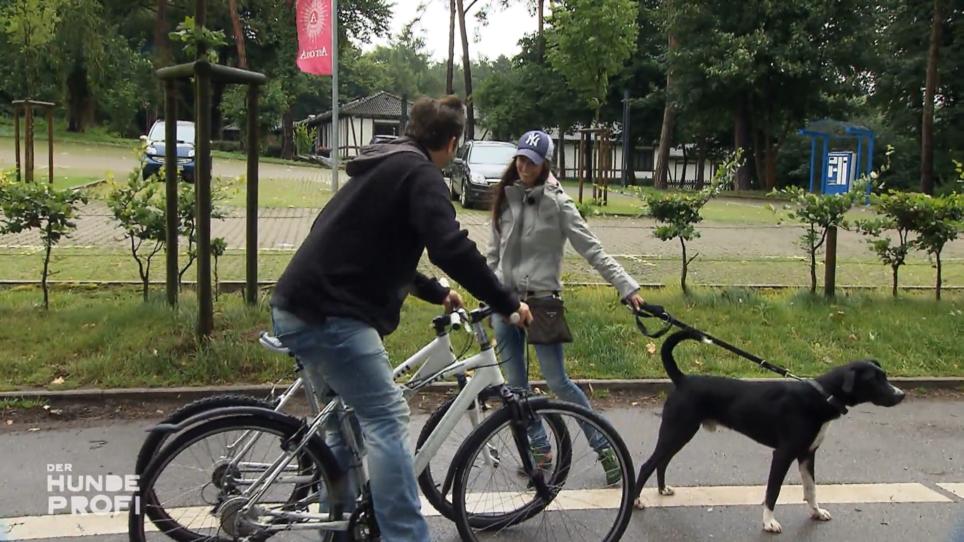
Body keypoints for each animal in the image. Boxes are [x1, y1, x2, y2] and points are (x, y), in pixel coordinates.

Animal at [632, 330, 904, 532]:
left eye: (884, 376)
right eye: (874, 380)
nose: (901, 395)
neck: (820, 397)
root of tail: (683, 379)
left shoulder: (807, 454)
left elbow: (811, 489)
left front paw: (816, 512)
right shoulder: (783, 454)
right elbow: (772, 492)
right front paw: (769, 522)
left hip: (680, 434)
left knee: (661, 462)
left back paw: (662, 490)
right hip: (677, 431)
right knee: (648, 465)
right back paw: (635, 500)